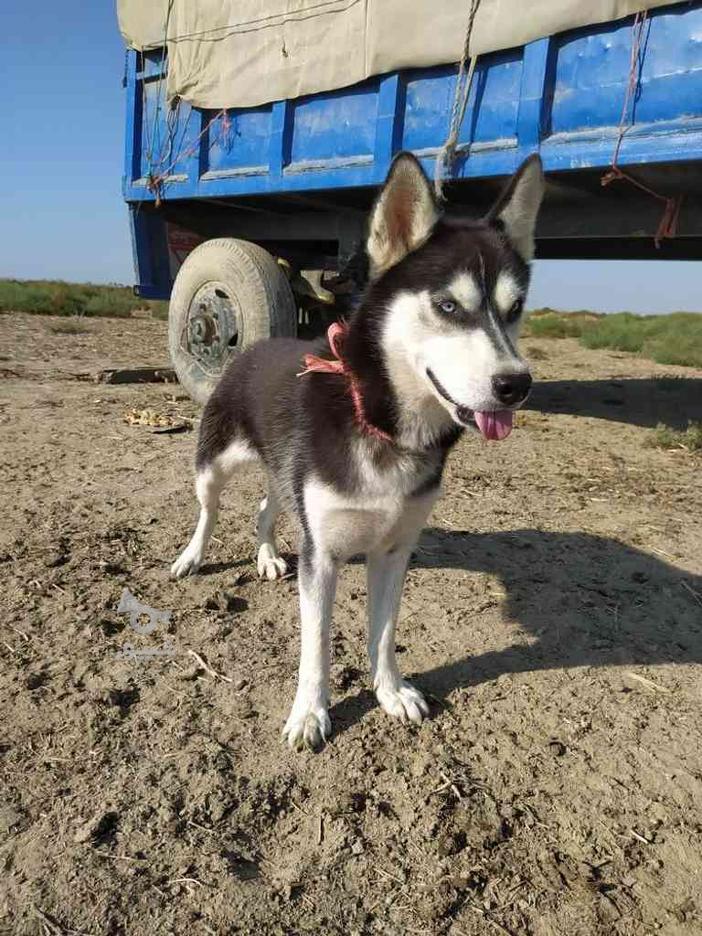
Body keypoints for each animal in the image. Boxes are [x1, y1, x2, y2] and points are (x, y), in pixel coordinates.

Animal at [173, 155, 548, 752]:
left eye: (515, 309)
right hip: (213, 463)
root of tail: (253, 346)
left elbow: (385, 630)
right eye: (447, 305)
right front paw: (310, 712)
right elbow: (316, 647)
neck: (383, 425)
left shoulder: (394, 551)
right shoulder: (322, 556)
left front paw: (390, 691)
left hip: (285, 475)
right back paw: (192, 556)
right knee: (209, 511)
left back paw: (267, 554)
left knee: (265, 508)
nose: (517, 384)